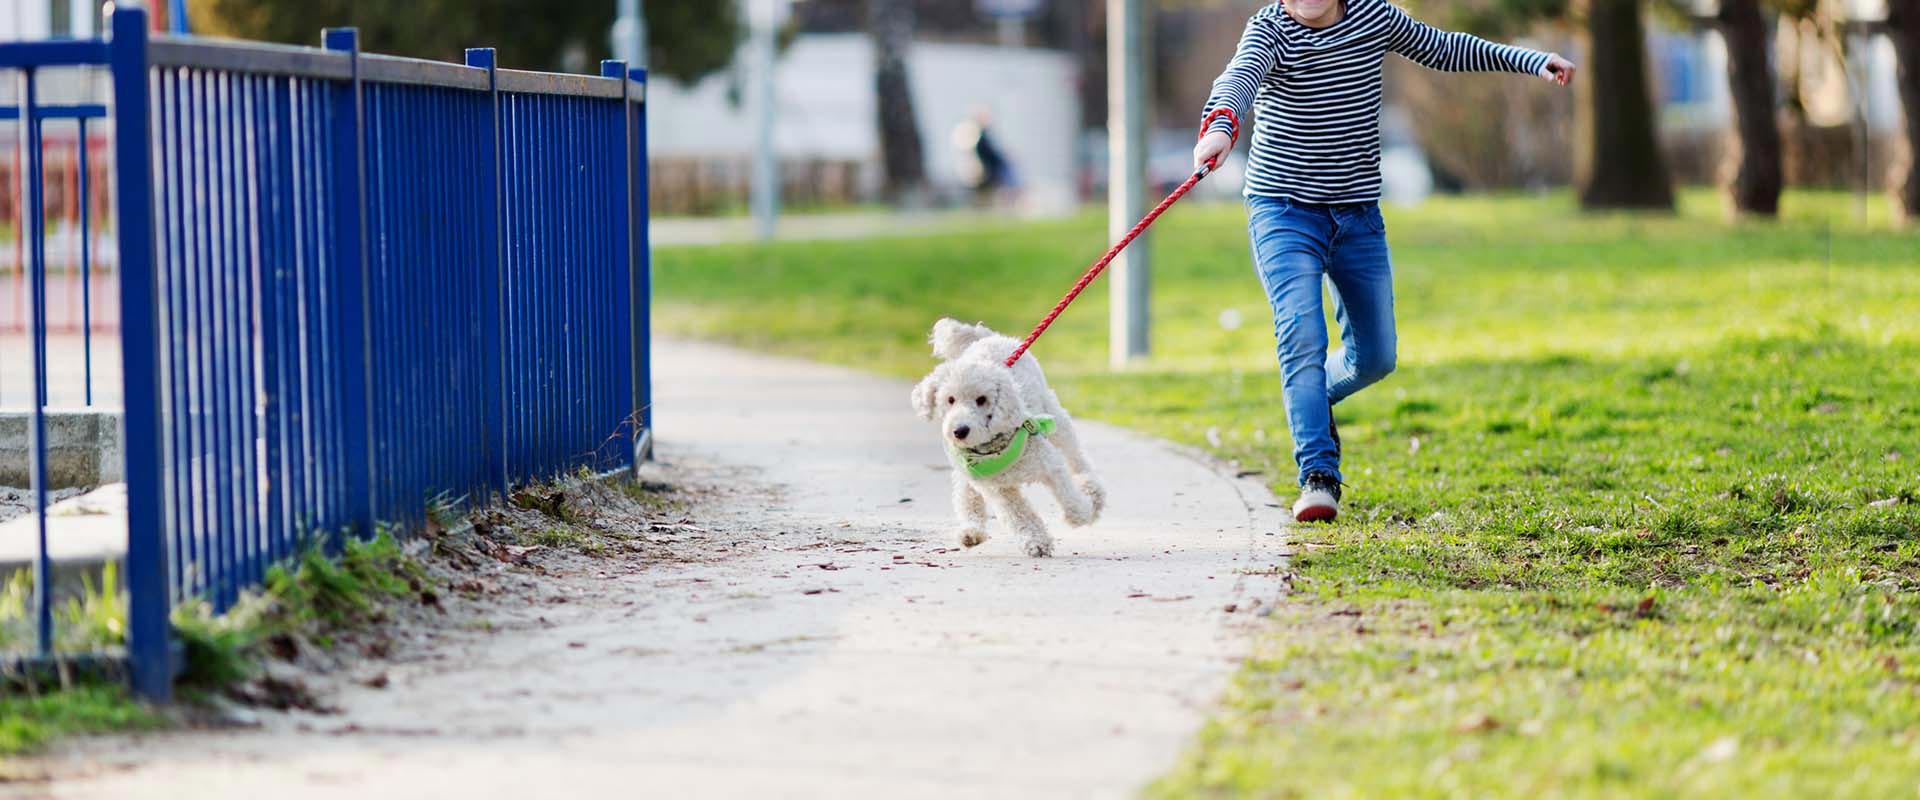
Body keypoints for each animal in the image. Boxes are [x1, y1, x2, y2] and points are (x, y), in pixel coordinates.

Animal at [906, 318, 1105, 556]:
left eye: (982, 399)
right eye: (950, 399)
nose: (960, 431)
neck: (997, 447)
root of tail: (986, 336)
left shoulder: (1050, 466)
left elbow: (1070, 500)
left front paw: (1084, 511)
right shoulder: (997, 488)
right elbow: (1018, 514)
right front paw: (1037, 542)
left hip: (1055, 416)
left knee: (1075, 455)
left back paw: (1092, 488)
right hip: (967, 470)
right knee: (966, 493)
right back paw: (971, 531)